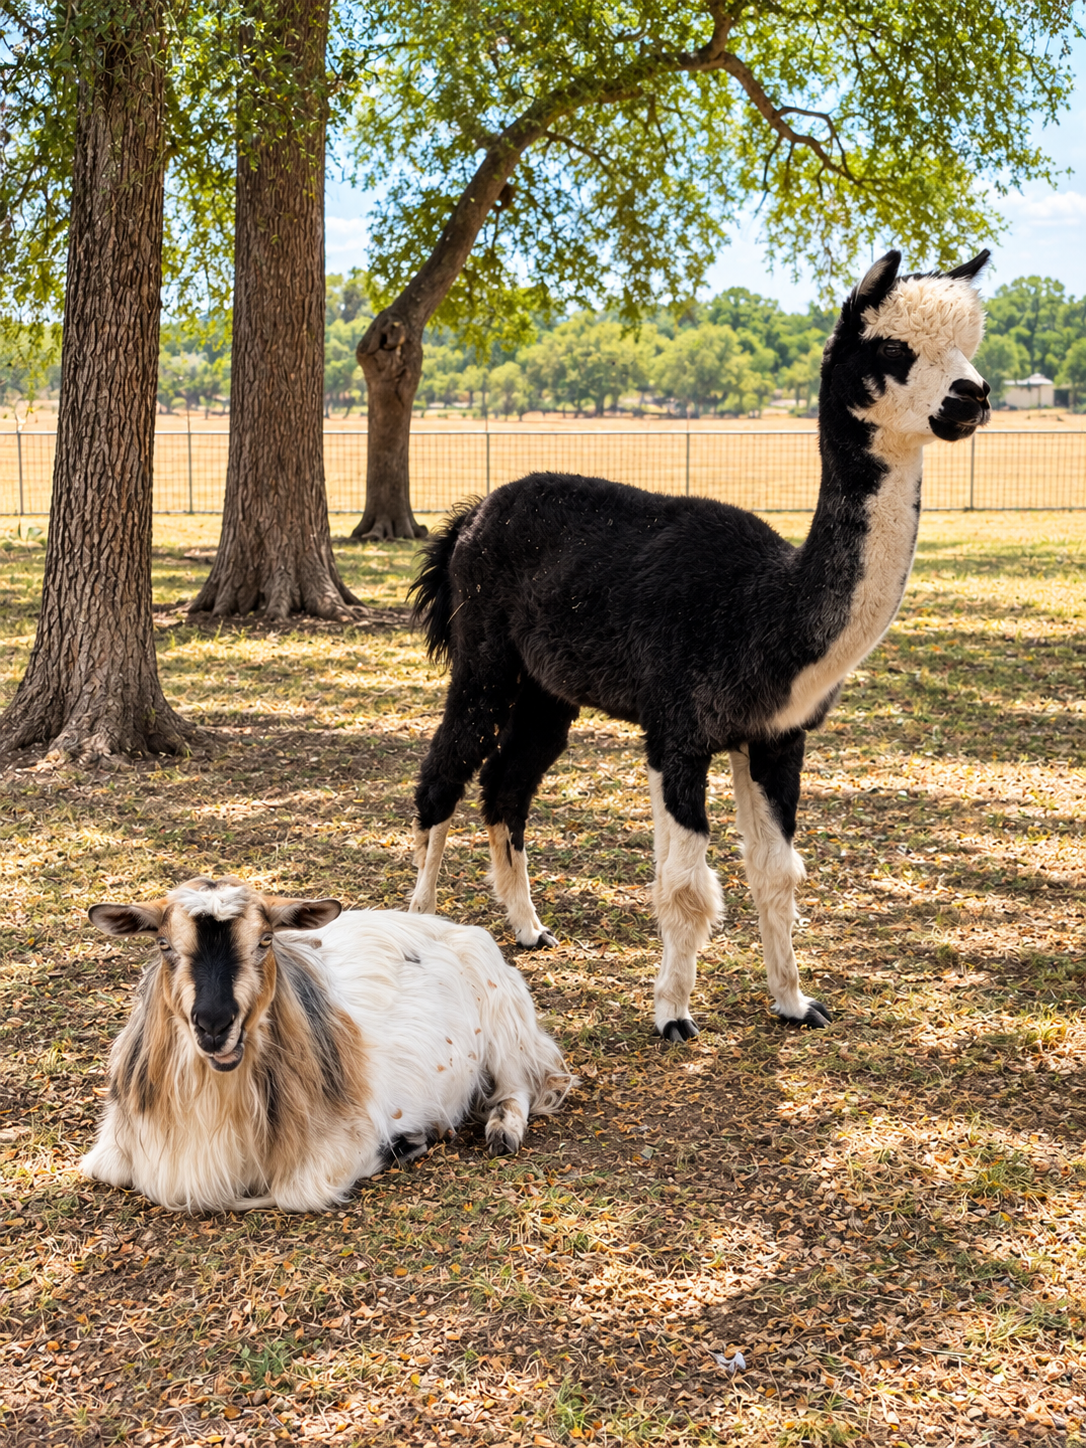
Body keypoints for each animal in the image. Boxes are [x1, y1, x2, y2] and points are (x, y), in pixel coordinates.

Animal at [81, 876, 572, 1212]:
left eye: (265, 940)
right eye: (164, 944)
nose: (215, 1025)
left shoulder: (338, 1142)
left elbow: (295, 1192)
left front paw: (397, 1146)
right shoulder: (113, 1152)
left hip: (503, 1022)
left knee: (518, 1086)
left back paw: (500, 1131)